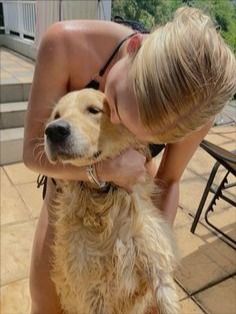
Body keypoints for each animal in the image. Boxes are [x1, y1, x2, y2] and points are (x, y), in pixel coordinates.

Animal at [44, 89, 179, 314]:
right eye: (56, 115)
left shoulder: (158, 268)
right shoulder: (92, 293)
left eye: (94, 109)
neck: (106, 198)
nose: (53, 130)